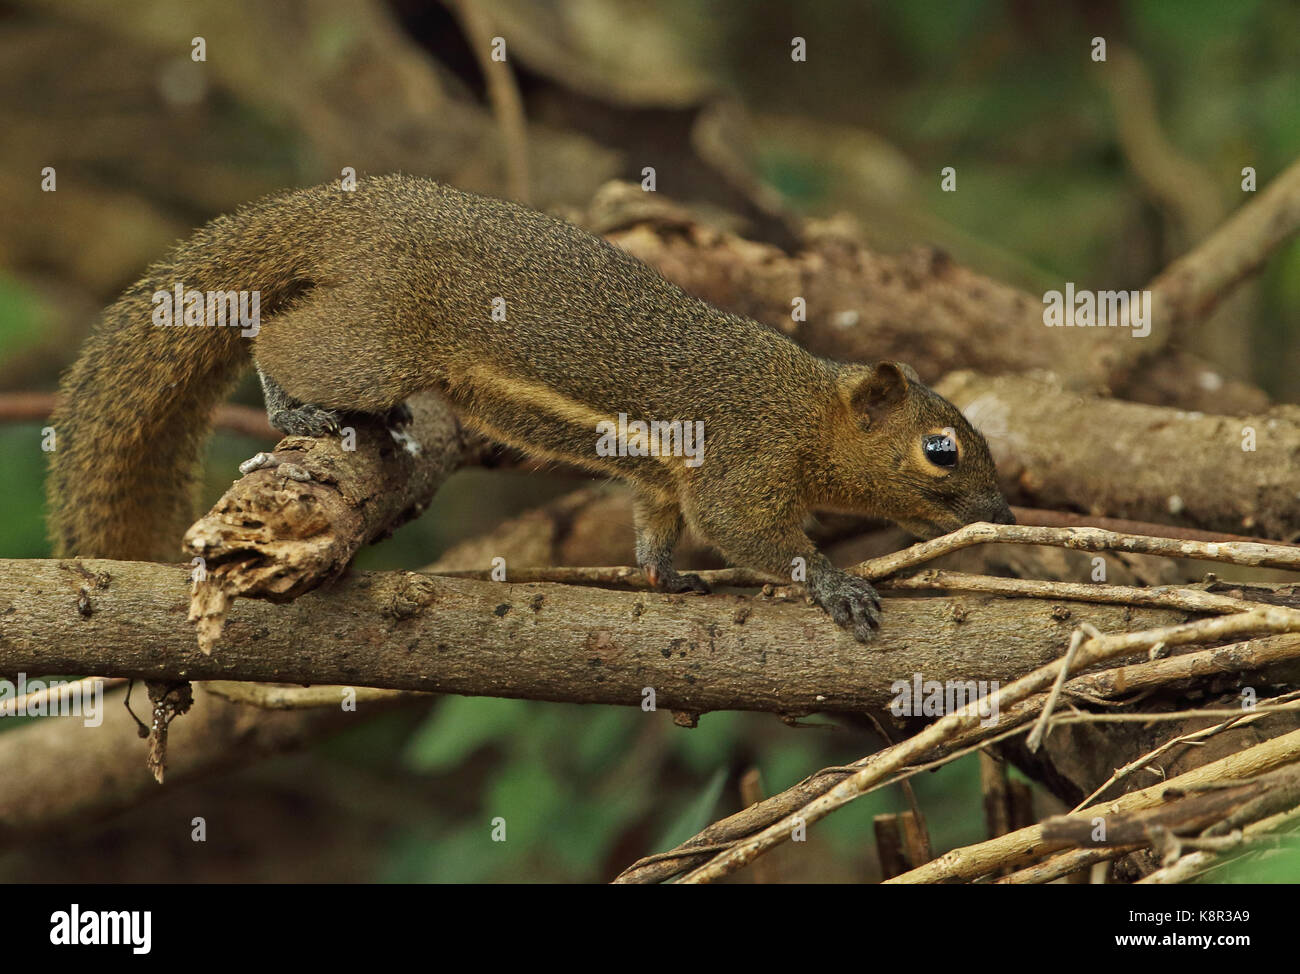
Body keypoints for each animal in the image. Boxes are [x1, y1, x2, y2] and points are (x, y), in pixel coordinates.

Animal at [47, 174, 1013, 643]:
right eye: (940, 449)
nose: (1005, 515)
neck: (806, 408)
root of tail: (346, 210)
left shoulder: (662, 476)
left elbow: (657, 530)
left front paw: (666, 577)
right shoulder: (744, 462)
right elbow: (755, 535)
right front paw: (842, 587)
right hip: (373, 337)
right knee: (275, 339)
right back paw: (297, 410)